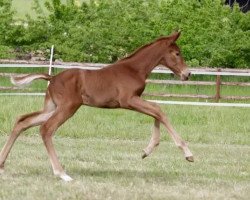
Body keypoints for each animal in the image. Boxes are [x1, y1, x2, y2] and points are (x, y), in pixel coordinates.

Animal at [0, 31, 193, 181]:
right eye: (177, 53)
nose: (187, 74)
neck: (133, 69)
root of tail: (52, 78)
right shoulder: (128, 100)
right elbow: (158, 110)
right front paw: (187, 153)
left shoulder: (135, 100)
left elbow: (156, 111)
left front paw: (146, 151)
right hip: (68, 107)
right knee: (46, 129)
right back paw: (62, 173)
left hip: (52, 107)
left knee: (22, 121)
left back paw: (2, 165)